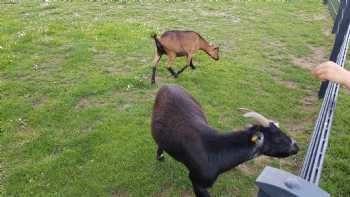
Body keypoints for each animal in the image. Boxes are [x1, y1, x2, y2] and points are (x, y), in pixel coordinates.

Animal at [150, 84, 298, 197]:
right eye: (279, 139)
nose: (296, 147)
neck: (215, 150)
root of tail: (168, 85)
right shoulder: (197, 180)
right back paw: (160, 157)